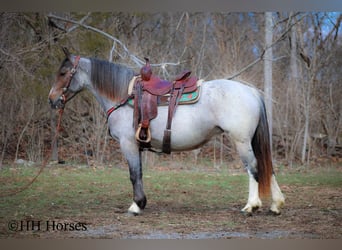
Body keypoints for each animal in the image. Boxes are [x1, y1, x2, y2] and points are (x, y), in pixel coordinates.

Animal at [46, 48, 284, 215]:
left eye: (64, 73)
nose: (52, 100)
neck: (125, 97)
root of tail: (251, 91)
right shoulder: (136, 146)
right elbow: (139, 173)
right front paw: (141, 203)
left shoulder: (128, 144)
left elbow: (134, 174)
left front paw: (136, 206)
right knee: (268, 167)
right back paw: (276, 205)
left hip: (241, 141)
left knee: (254, 168)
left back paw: (251, 206)